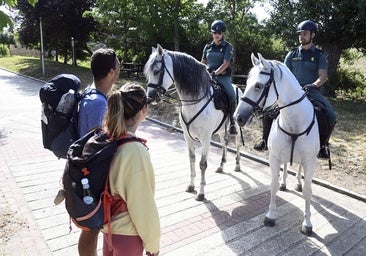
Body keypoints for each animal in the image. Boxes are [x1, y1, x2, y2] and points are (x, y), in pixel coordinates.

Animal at [145, 44, 243, 201]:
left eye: (156, 71)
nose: (150, 97)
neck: (195, 101)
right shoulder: (187, 136)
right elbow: (191, 159)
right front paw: (191, 186)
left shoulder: (206, 138)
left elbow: (202, 164)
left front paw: (201, 193)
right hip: (222, 129)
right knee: (224, 143)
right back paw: (221, 166)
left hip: (238, 128)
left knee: (238, 143)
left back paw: (238, 165)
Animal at [236, 53, 318, 235]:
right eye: (247, 82)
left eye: (259, 86)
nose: (238, 117)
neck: (294, 122)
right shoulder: (274, 158)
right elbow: (273, 184)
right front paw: (271, 215)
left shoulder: (310, 161)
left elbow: (308, 191)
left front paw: (308, 222)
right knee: (286, 166)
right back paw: (285, 183)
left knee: (299, 171)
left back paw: (297, 183)